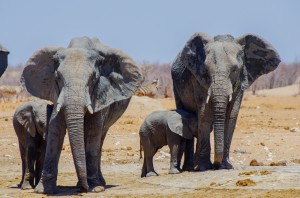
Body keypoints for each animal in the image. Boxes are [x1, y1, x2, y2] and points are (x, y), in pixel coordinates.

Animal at [21, 37, 143, 193]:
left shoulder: (100, 94)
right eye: (58, 77)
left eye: (93, 79)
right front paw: (43, 190)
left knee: (99, 138)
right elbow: (56, 131)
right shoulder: (56, 93)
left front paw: (96, 188)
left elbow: (92, 132)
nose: (83, 189)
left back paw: (99, 183)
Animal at [172, 32, 280, 172]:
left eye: (234, 70)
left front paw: (225, 166)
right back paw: (190, 167)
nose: (215, 166)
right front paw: (204, 167)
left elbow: (231, 116)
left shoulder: (240, 81)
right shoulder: (198, 79)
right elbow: (205, 114)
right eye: (206, 70)